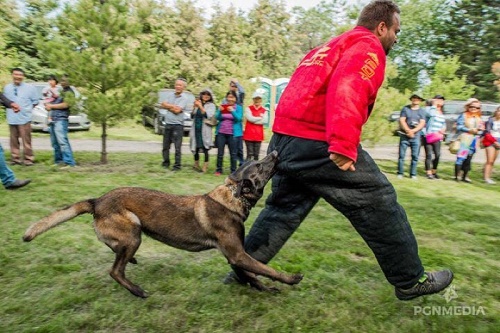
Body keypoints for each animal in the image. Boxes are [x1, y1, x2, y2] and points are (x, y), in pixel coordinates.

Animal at [23, 150, 302, 296]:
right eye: (260, 166)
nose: (275, 151)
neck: (232, 196)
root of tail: (97, 201)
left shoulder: (234, 257)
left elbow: (251, 275)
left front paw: (265, 289)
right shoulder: (238, 254)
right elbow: (265, 268)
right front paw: (290, 278)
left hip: (129, 235)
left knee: (114, 251)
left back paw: (130, 262)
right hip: (133, 233)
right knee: (115, 270)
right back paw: (136, 290)